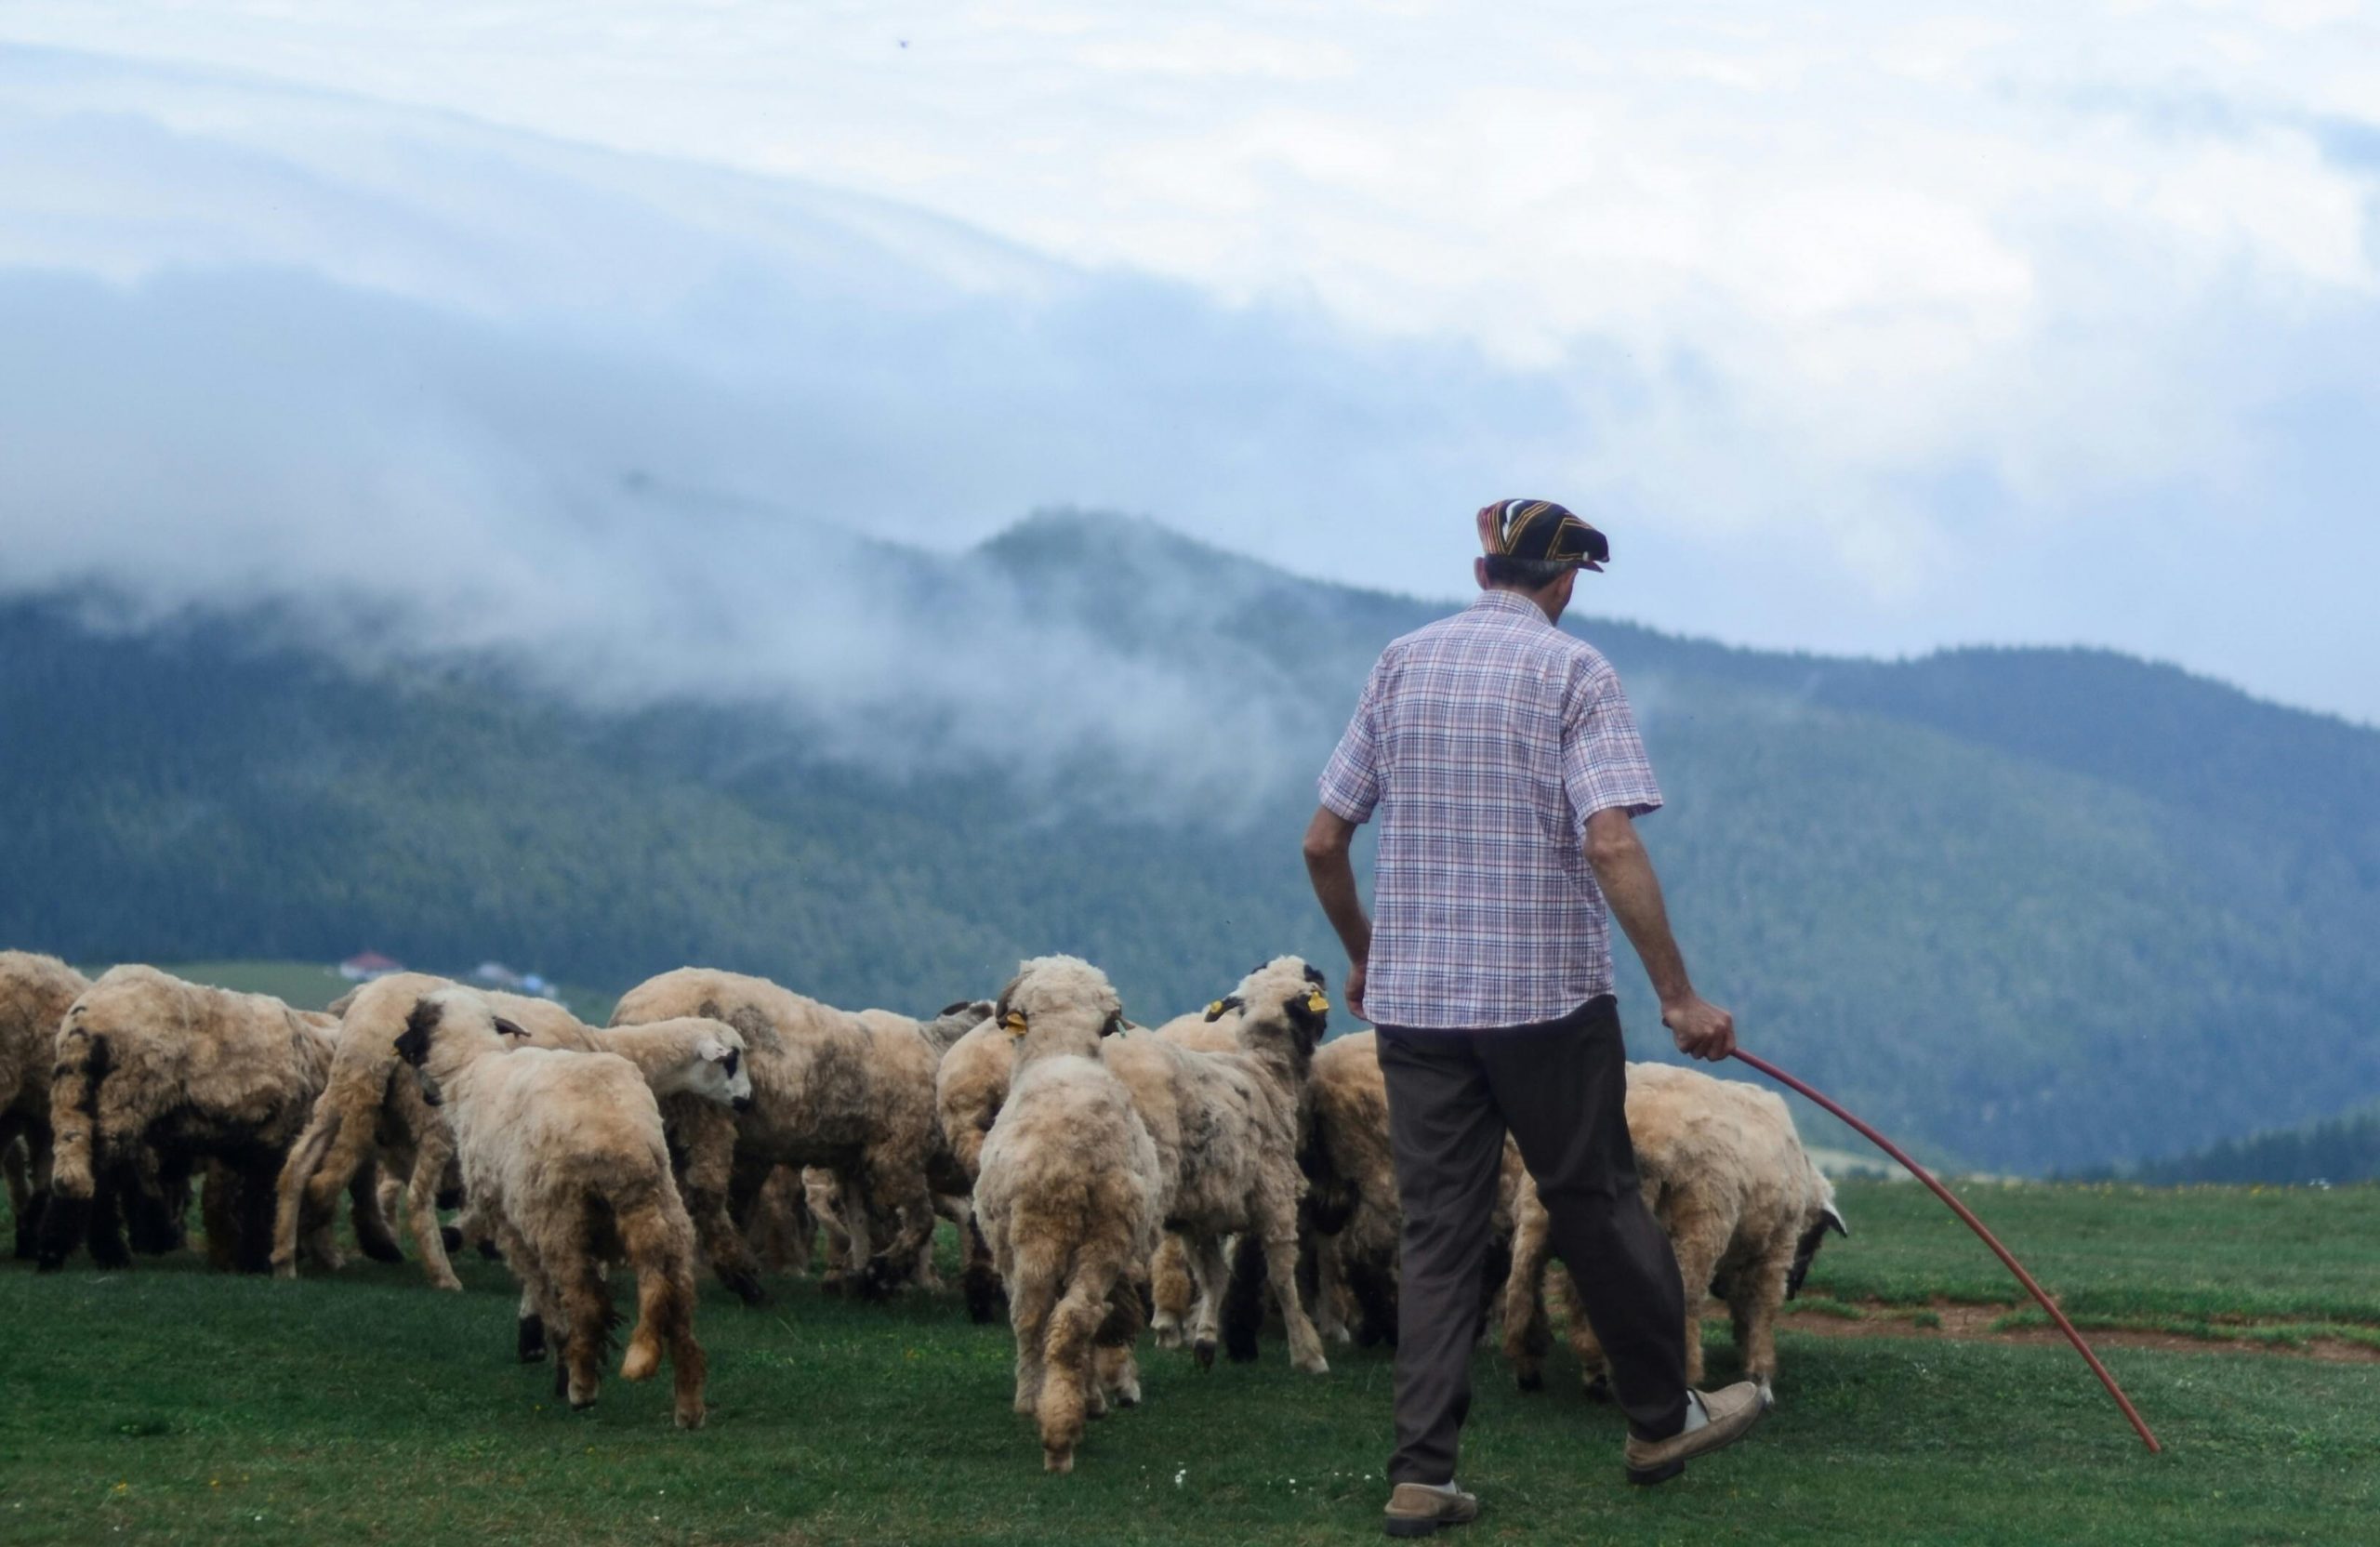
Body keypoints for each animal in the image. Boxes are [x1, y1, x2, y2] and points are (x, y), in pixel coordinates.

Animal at [971, 952, 1166, 1465]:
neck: (1063, 1052)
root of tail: (1079, 1150)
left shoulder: (1005, 1247)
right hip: (1108, 1233)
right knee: (1078, 1318)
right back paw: (1068, 1416)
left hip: (1035, 1234)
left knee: (1032, 1316)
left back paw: (1036, 1402)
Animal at [1494, 1061, 1846, 1399]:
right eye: (1816, 1238)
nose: (1795, 1289)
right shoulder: (1777, 1245)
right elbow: (1762, 1306)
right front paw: (1761, 1377)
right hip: (1698, 1224)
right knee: (1683, 1298)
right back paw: (1681, 1377)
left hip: (1537, 1212)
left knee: (1524, 1285)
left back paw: (1543, 1367)